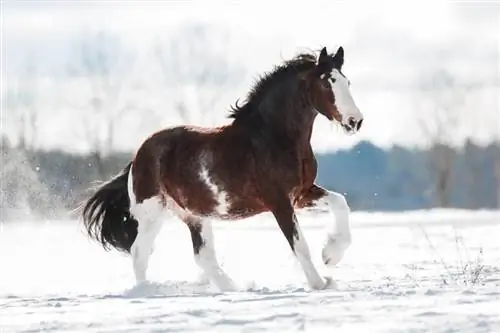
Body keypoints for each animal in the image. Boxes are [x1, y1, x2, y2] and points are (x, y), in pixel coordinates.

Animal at [82, 45, 364, 290]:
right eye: (328, 82)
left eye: (348, 82)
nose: (355, 121)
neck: (273, 137)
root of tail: (138, 157)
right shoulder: (279, 201)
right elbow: (299, 244)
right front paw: (320, 282)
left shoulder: (301, 194)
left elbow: (340, 203)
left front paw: (331, 255)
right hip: (152, 213)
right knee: (140, 252)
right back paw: (147, 291)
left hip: (194, 215)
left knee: (202, 256)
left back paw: (232, 288)